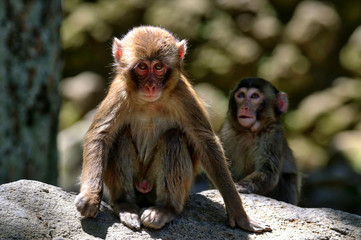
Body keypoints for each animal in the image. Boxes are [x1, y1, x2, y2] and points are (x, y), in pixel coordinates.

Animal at [74, 26, 270, 232]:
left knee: (173, 138)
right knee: (120, 137)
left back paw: (165, 209)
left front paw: (240, 215)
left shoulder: (183, 95)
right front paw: (91, 197)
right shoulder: (119, 93)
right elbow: (100, 135)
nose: (151, 85)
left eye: (158, 67)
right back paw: (125, 204)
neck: (150, 103)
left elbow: (206, 142)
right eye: (142, 67)